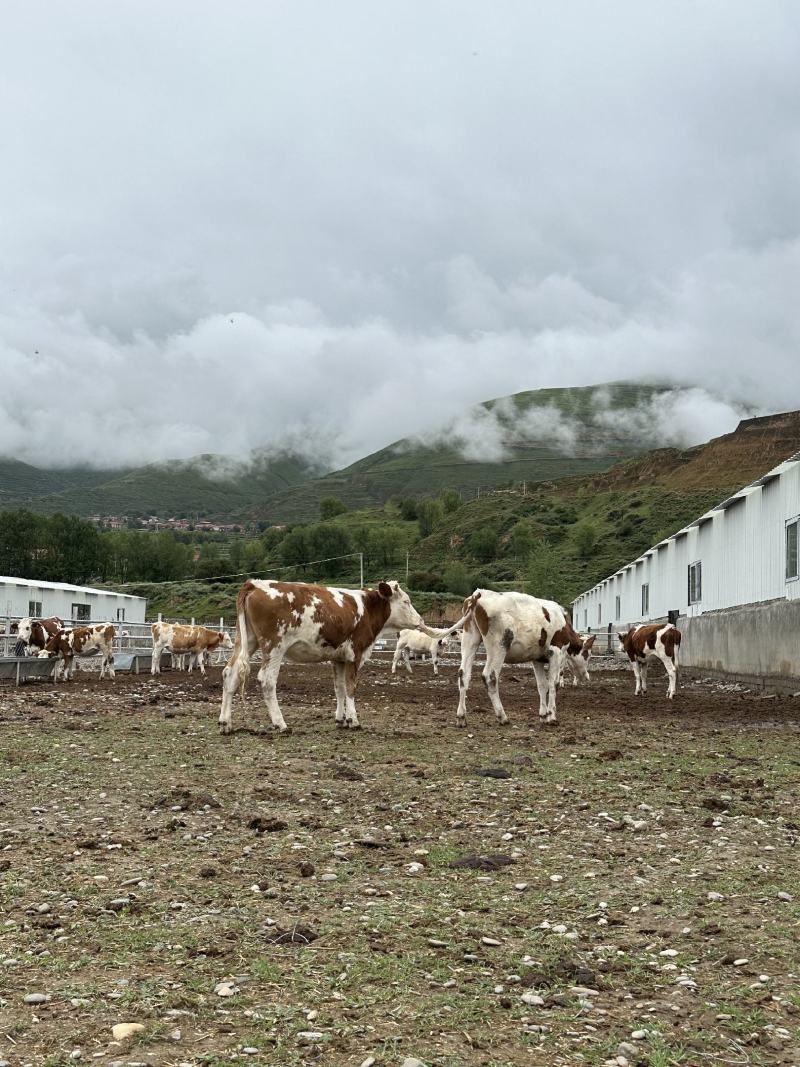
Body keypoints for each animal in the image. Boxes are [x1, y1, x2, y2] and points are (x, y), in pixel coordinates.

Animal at [219, 576, 439, 734]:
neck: (367, 608)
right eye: (406, 601)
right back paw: (280, 723)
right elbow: (350, 687)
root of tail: (254, 584)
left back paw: (225, 723)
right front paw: (354, 720)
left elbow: (339, 688)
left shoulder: (338, 658)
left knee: (230, 673)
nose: (420, 620)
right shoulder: (355, 654)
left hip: (247, 640)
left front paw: (341, 719)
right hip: (274, 646)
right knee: (267, 679)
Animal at [454, 588, 593, 729]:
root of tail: (479, 594)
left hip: (470, 639)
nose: (586, 676)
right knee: (490, 677)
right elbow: (553, 684)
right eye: (588, 655)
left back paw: (461, 717)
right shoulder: (556, 652)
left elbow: (542, 686)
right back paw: (502, 717)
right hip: (499, 646)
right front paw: (552, 716)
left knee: (463, 675)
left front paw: (543, 715)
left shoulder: (537, 659)